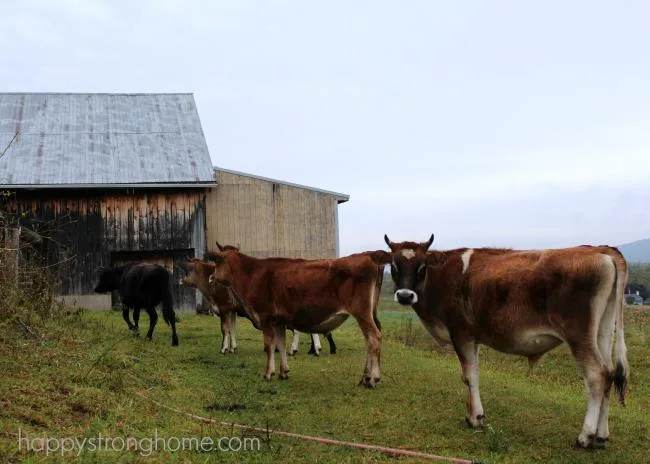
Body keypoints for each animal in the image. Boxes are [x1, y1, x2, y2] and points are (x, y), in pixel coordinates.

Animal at [208, 248, 388, 386]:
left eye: (217, 262)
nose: (210, 278)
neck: (252, 275)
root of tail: (368, 256)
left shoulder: (266, 318)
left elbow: (269, 346)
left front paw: (268, 373)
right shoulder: (279, 321)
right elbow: (281, 345)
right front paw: (283, 372)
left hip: (362, 313)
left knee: (374, 338)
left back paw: (373, 379)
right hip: (370, 313)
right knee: (369, 341)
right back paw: (365, 378)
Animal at [384, 234, 628, 448]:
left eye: (421, 267)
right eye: (394, 267)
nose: (405, 295)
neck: (443, 277)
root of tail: (600, 249)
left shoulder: (461, 333)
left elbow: (469, 377)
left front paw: (475, 419)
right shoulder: (473, 337)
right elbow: (474, 374)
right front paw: (473, 414)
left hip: (578, 334)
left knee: (596, 376)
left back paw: (585, 437)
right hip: (603, 332)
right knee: (609, 374)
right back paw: (601, 436)